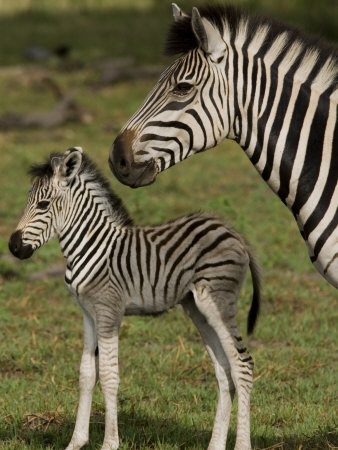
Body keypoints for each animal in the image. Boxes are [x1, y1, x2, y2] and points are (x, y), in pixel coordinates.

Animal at [8, 148, 262, 450]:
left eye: (44, 204)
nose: (13, 247)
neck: (91, 246)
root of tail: (233, 232)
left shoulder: (109, 311)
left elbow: (109, 375)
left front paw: (109, 443)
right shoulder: (88, 313)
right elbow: (86, 374)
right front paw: (76, 442)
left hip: (217, 302)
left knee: (242, 365)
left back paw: (242, 444)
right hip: (198, 309)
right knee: (224, 370)